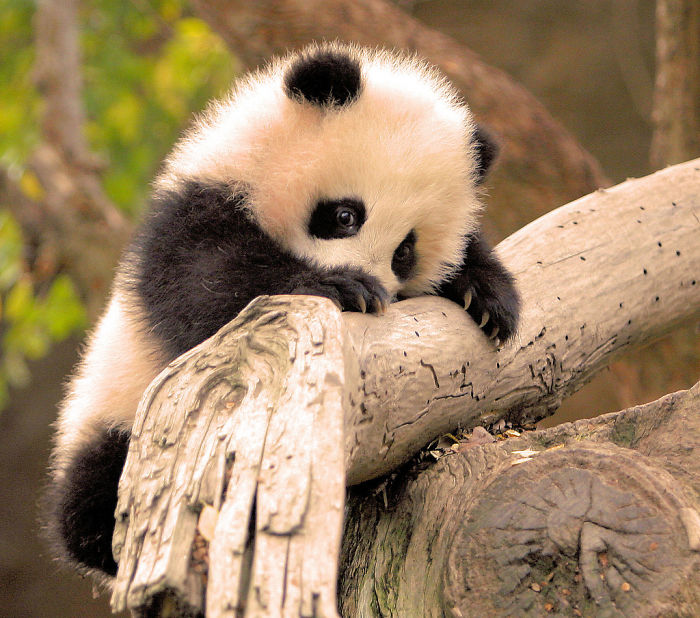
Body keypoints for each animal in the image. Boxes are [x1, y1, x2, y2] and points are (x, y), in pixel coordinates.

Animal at [44, 42, 519, 584]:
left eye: (405, 252)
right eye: (344, 215)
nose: (376, 284)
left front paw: (487, 297)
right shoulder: (191, 217)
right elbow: (214, 287)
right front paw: (340, 287)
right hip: (120, 409)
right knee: (93, 493)